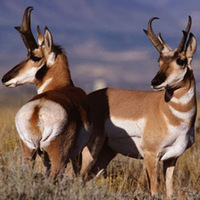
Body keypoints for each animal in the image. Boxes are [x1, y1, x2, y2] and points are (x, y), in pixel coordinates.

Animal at [1, 7, 90, 180]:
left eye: (35, 57)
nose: (5, 78)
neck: (61, 86)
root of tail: (38, 108)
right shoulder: (77, 153)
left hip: (29, 153)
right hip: (58, 156)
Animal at [81, 16, 197, 198]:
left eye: (181, 61)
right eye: (159, 61)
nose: (155, 82)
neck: (170, 114)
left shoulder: (172, 158)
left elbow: (169, 191)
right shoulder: (151, 155)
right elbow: (154, 191)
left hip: (106, 153)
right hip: (89, 149)